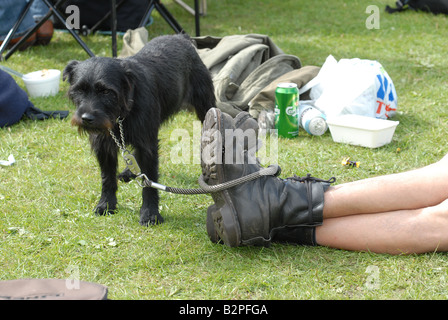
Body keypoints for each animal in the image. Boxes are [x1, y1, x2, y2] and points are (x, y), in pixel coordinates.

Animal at [63, 34, 215, 225]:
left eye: (106, 91)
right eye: (79, 90)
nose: (86, 118)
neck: (123, 111)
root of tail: (181, 36)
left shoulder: (147, 144)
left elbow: (149, 180)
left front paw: (150, 214)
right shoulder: (104, 145)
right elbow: (107, 177)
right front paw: (106, 204)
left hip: (206, 107)